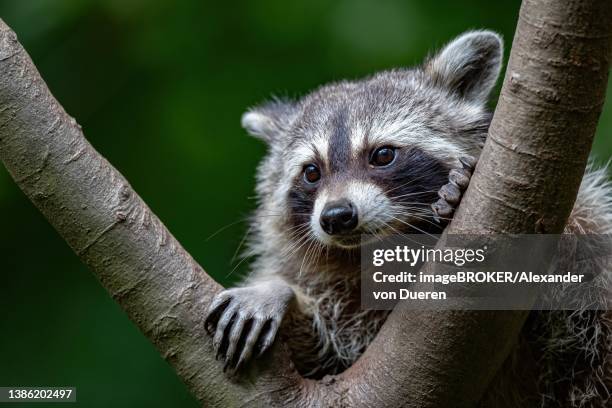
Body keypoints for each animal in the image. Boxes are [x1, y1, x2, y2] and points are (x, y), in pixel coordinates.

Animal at [204, 31, 612, 404]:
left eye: (383, 155)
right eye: (312, 172)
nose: (336, 216)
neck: (387, 245)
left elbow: (583, 282)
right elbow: (322, 362)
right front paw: (278, 293)